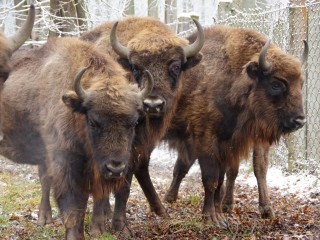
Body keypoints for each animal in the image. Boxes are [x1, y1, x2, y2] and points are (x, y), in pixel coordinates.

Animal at [0, 36, 154, 239]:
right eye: (93, 121)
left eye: (134, 122)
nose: (115, 168)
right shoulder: (65, 165)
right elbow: (73, 208)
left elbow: (93, 198)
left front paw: (96, 230)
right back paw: (43, 219)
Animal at [80, 15, 205, 233]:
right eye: (136, 68)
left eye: (175, 67)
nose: (152, 104)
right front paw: (105, 226)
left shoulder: (138, 146)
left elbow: (125, 185)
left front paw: (120, 226)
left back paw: (159, 210)